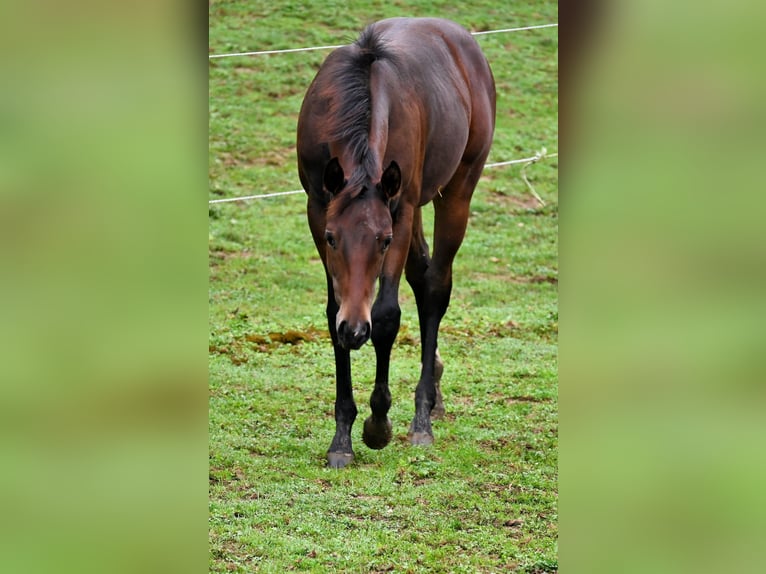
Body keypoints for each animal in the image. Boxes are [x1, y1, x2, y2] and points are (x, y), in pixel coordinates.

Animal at [294, 18, 498, 470]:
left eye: (384, 241)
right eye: (332, 238)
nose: (355, 330)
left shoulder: (400, 211)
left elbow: (386, 315)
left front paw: (377, 425)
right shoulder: (317, 207)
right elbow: (332, 311)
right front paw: (341, 439)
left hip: (456, 190)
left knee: (436, 286)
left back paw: (423, 417)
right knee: (422, 276)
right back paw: (434, 391)